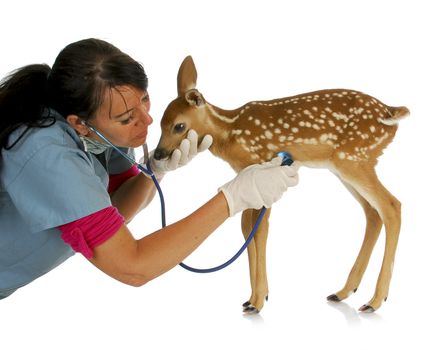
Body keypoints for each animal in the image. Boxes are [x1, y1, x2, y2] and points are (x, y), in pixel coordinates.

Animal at [155, 56, 410, 314]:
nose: (158, 153)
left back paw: (375, 301)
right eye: (160, 123)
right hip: (346, 165)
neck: (230, 131)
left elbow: (259, 230)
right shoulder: (248, 179)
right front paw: (252, 298)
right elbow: (246, 227)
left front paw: (258, 301)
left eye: (178, 126)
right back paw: (343, 292)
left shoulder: (261, 165)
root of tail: (390, 112)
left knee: (391, 206)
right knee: (372, 212)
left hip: (353, 158)